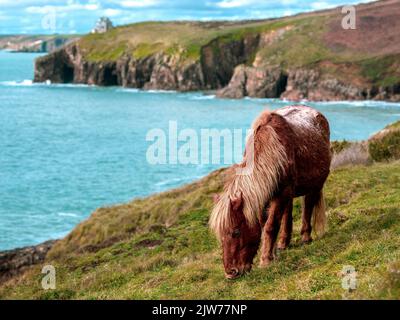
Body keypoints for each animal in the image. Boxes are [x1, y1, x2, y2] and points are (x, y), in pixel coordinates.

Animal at [209, 106, 332, 278]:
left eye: (236, 232)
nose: (231, 273)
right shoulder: (264, 196)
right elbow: (264, 225)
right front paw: (272, 253)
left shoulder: (281, 194)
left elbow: (270, 226)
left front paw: (266, 260)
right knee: (287, 213)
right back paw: (283, 243)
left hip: (314, 186)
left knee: (308, 207)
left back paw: (306, 237)